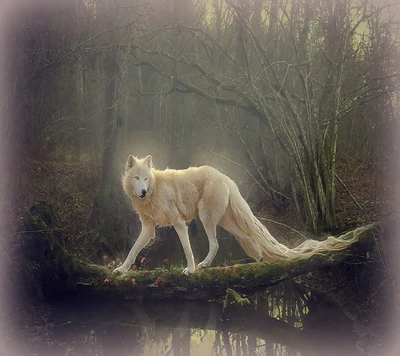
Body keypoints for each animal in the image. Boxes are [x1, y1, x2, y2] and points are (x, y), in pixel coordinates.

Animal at [114, 154, 360, 276]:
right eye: (137, 178)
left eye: (146, 178)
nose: (143, 191)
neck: (154, 190)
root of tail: (225, 176)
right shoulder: (148, 229)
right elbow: (133, 250)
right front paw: (121, 270)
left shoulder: (179, 223)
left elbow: (187, 249)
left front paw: (191, 269)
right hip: (226, 223)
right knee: (249, 237)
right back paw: (261, 260)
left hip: (207, 219)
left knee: (215, 245)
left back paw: (203, 266)